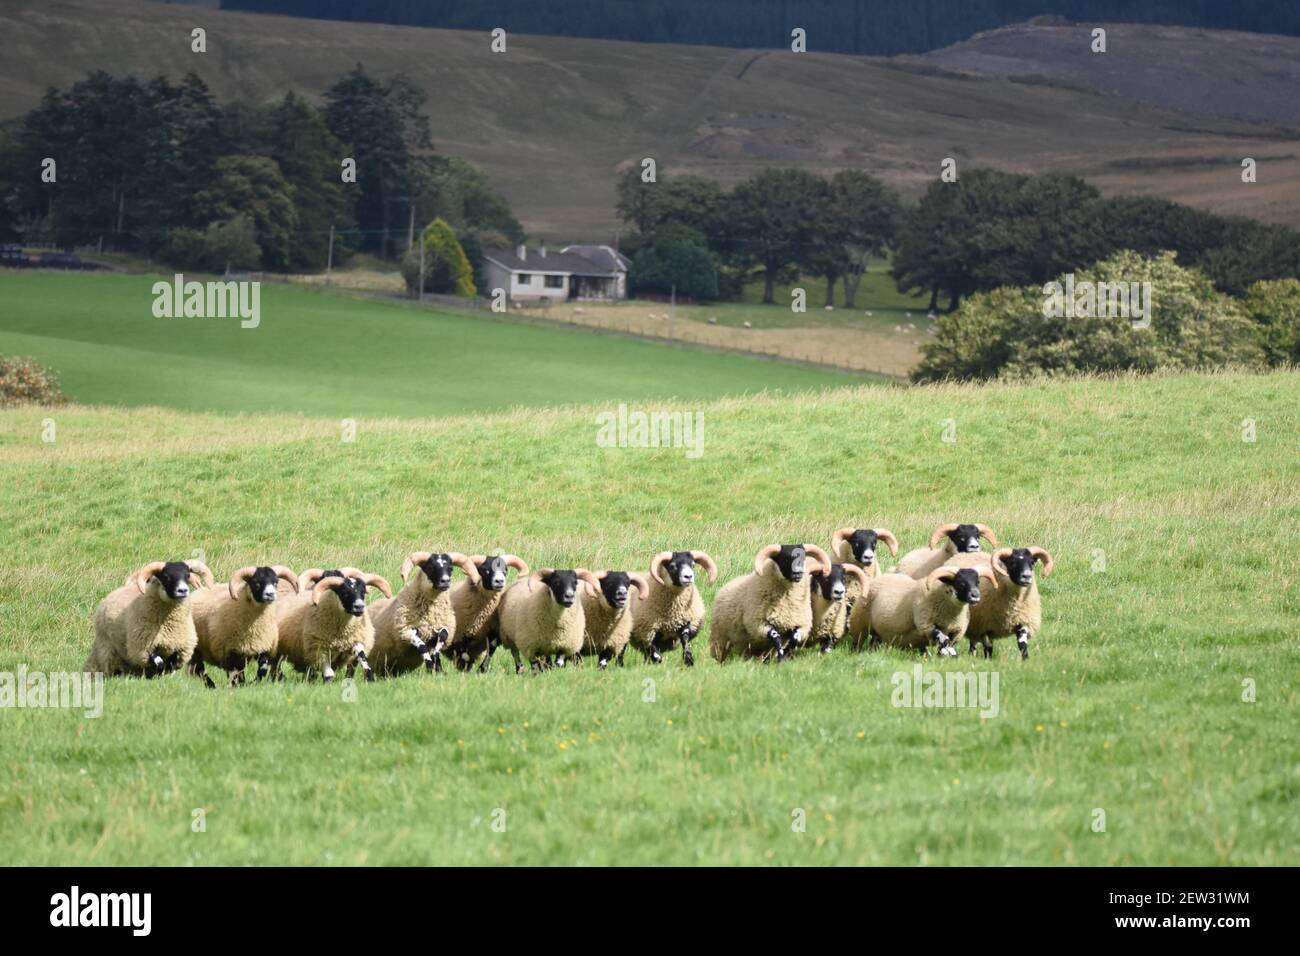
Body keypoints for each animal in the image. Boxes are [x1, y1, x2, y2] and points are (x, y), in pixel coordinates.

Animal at [86, 561, 214, 681]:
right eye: (166, 576)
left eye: (187, 575)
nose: (182, 590)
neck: (167, 626)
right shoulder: (145, 647)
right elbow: (159, 663)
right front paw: (157, 676)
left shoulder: (180, 649)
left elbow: (171, 665)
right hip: (107, 649)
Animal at [369, 548, 480, 676]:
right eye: (430, 567)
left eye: (450, 568)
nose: (445, 581)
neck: (430, 615)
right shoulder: (406, 630)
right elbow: (422, 646)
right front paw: (430, 666)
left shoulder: (442, 625)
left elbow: (442, 636)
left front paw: (438, 669)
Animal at [847, 567, 998, 658]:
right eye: (960, 583)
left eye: (977, 582)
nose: (975, 595)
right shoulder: (926, 624)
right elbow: (943, 639)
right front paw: (945, 654)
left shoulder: (956, 631)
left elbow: (948, 643)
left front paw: (945, 655)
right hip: (859, 624)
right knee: (857, 642)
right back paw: (855, 653)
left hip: (879, 630)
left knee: (875, 642)